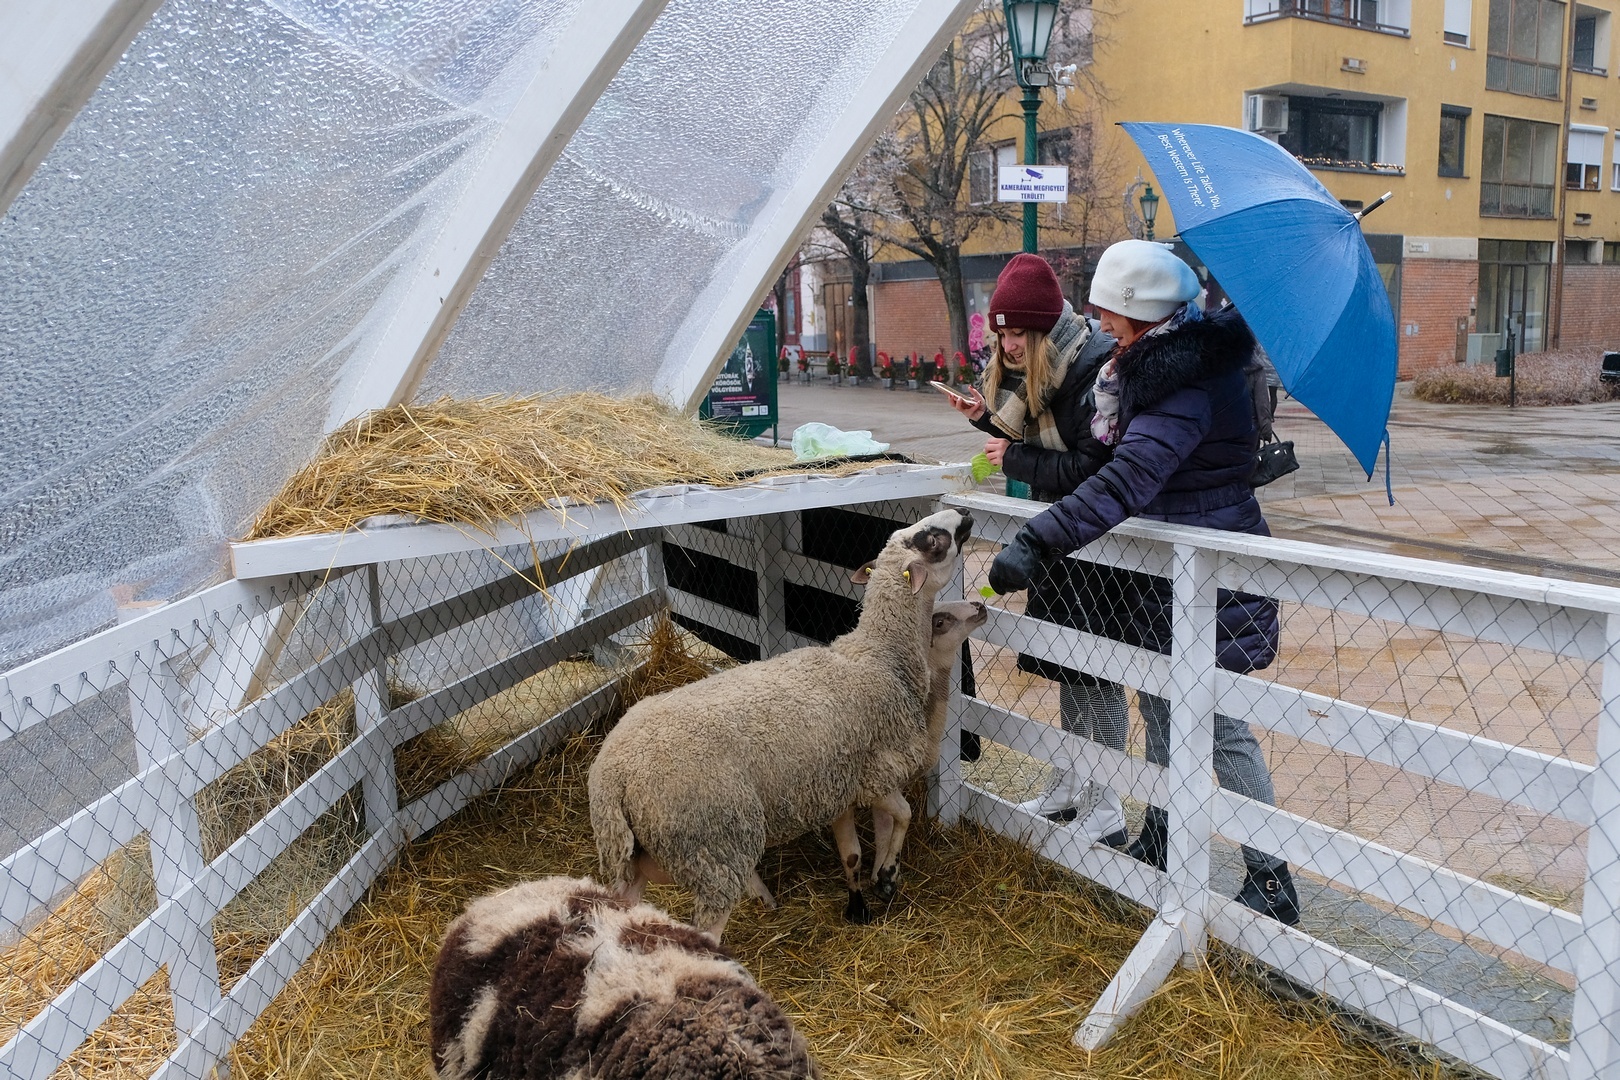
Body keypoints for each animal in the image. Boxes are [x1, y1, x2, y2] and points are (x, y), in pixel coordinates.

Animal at [830, 598, 988, 912]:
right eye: (939, 622)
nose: (979, 605)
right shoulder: (874, 784)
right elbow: (895, 821)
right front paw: (886, 878)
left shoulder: (888, 785)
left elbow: (885, 829)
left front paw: (883, 876)